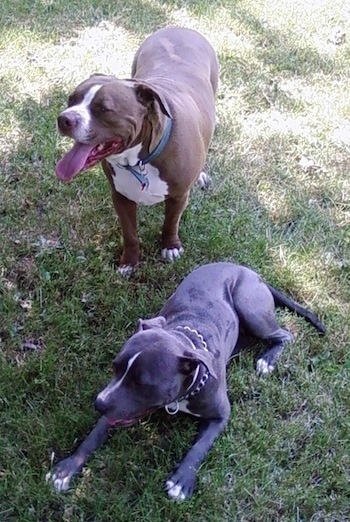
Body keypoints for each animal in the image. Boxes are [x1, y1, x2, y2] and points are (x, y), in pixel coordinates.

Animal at [46, 262, 326, 498]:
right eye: (115, 368)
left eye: (141, 383)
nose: (99, 403)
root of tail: (249, 271)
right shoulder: (118, 403)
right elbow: (94, 435)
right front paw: (66, 469)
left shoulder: (221, 415)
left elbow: (200, 446)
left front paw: (182, 480)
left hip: (251, 308)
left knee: (285, 335)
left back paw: (267, 360)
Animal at [55, 26, 217, 274]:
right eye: (71, 99)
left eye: (104, 108)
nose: (64, 119)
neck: (138, 160)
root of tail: (179, 27)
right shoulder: (121, 198)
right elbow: (130, 234)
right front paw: (129, 263)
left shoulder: (179, 196)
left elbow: (171, 222)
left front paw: (170, 246)